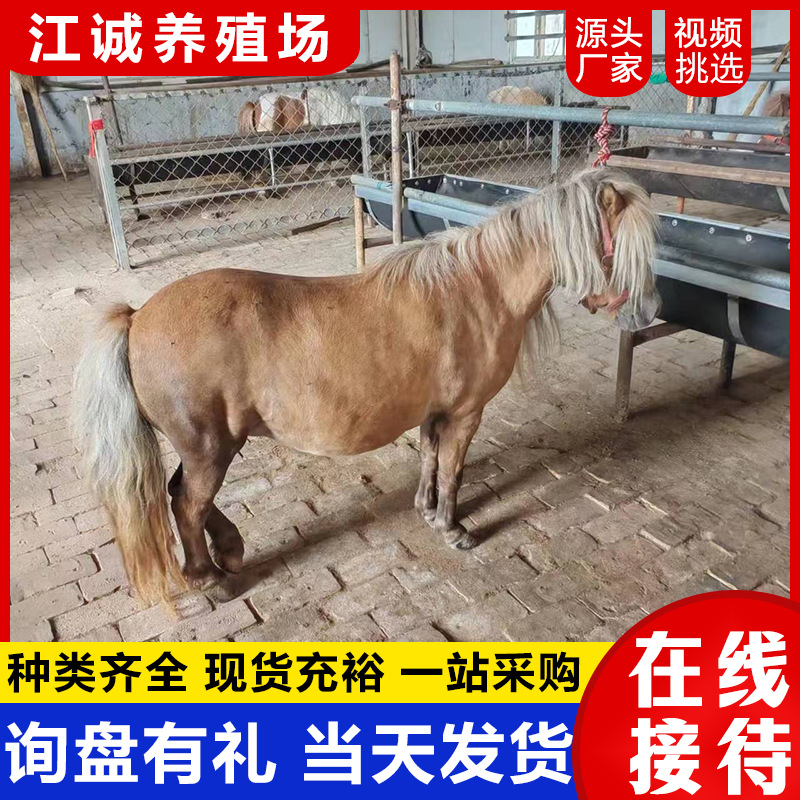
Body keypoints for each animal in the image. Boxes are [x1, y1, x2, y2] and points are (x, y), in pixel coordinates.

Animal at [74, 168, 660, 609]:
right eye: (625, 247)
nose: (649, 309)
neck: (478, 288)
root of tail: (137, 317)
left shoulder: (435, 412)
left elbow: (430, 459)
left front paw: (426, 509)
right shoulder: (466, 412)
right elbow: (454, 469)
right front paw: (453, 527)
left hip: (209, 445)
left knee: (183, 496)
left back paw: (230, 549)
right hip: (207, 446)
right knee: (188, 504)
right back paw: (209, 577)